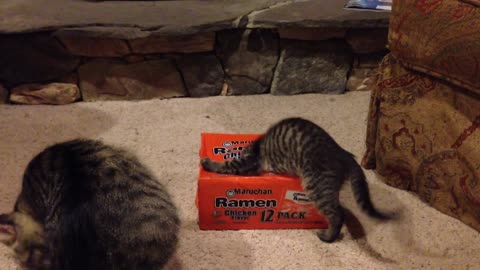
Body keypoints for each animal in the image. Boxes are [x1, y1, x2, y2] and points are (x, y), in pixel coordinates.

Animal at [201, 117, 388, 243]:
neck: (255, 147)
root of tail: (342, 153)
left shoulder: (248, 163)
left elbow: (226, 164)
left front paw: (207, 162)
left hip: (317, 186)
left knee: (337, 215)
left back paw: (328, 237)